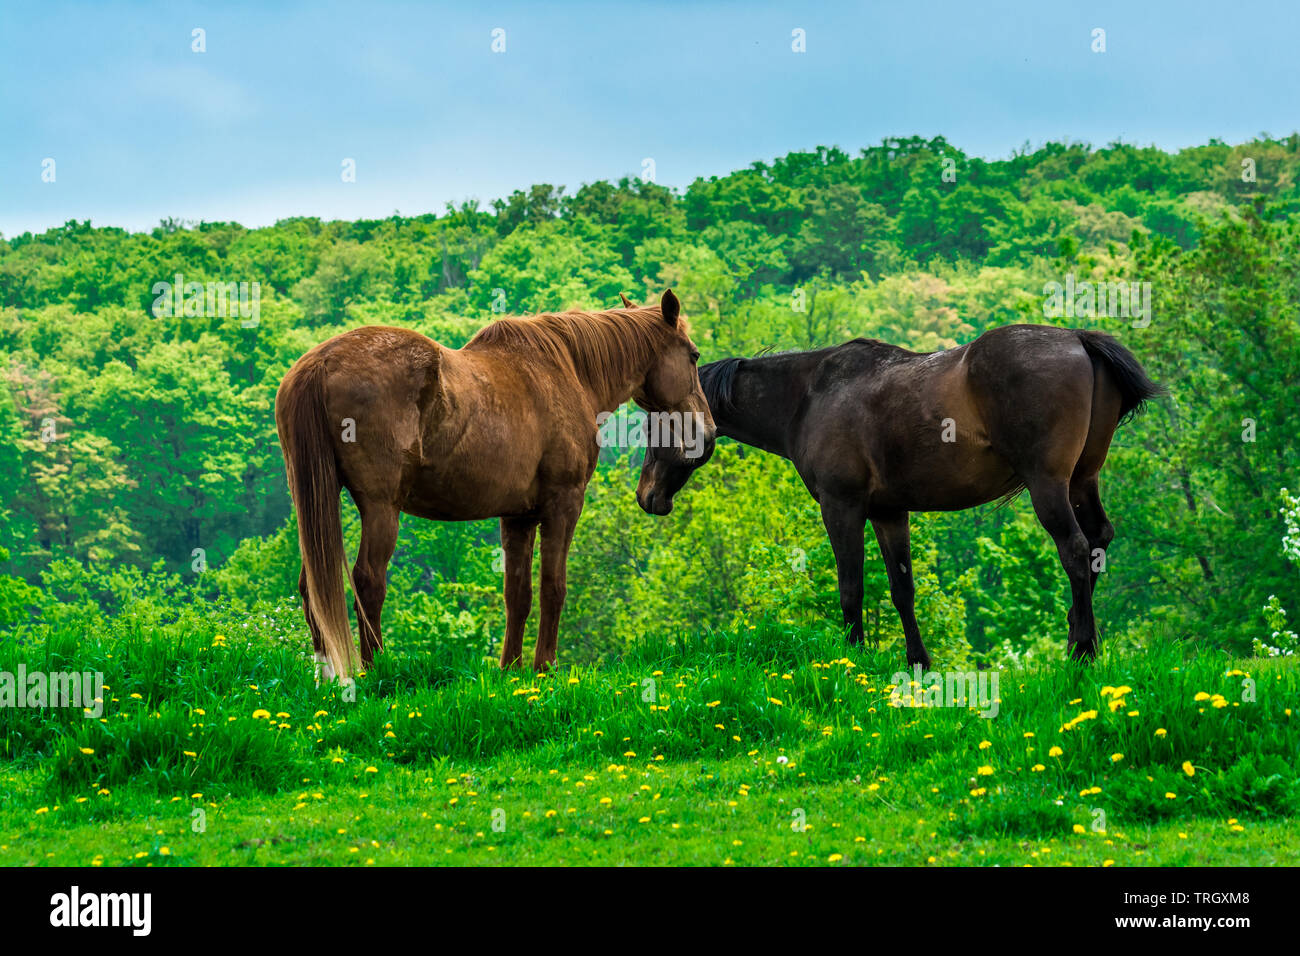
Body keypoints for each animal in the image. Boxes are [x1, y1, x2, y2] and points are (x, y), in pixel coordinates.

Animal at [275, 289, 715, 680]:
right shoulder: (564, 504)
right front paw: (544, 668)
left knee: (312, 588)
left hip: (318, 500)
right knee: (368, 580)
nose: (708, 431)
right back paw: (373, 670)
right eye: (693, 355)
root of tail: (320, 363)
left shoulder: (517, 516)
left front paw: (511, 669)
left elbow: (517, 594)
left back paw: (329, 677)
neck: (565, 372)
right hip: (381, 507)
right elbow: (553, 587)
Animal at [646, 324, 1163, 667]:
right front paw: (918, 661)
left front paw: (852, 658)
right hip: (1081, 481)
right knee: (1097, 542)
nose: (647, 496)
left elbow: (851, 587)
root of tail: (1077, 339)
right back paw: (1079, 637)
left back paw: (1081, 652)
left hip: (1049, 486)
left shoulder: (842, 508)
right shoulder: (890, 513)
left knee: (1075, 549)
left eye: (658, 424)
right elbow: (902, 589)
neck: (808, 396)